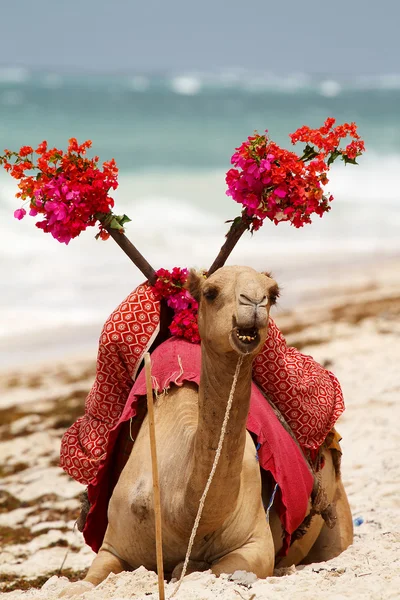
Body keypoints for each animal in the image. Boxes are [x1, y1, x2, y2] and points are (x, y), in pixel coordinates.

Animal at [60, 266, 354, 596]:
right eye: (211, 293)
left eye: (273, 294)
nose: (254, 303)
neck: (180, 513)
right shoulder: (113, 545)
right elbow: (84, 583)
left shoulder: (253, 546)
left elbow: (211, 570)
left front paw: (185, 568)